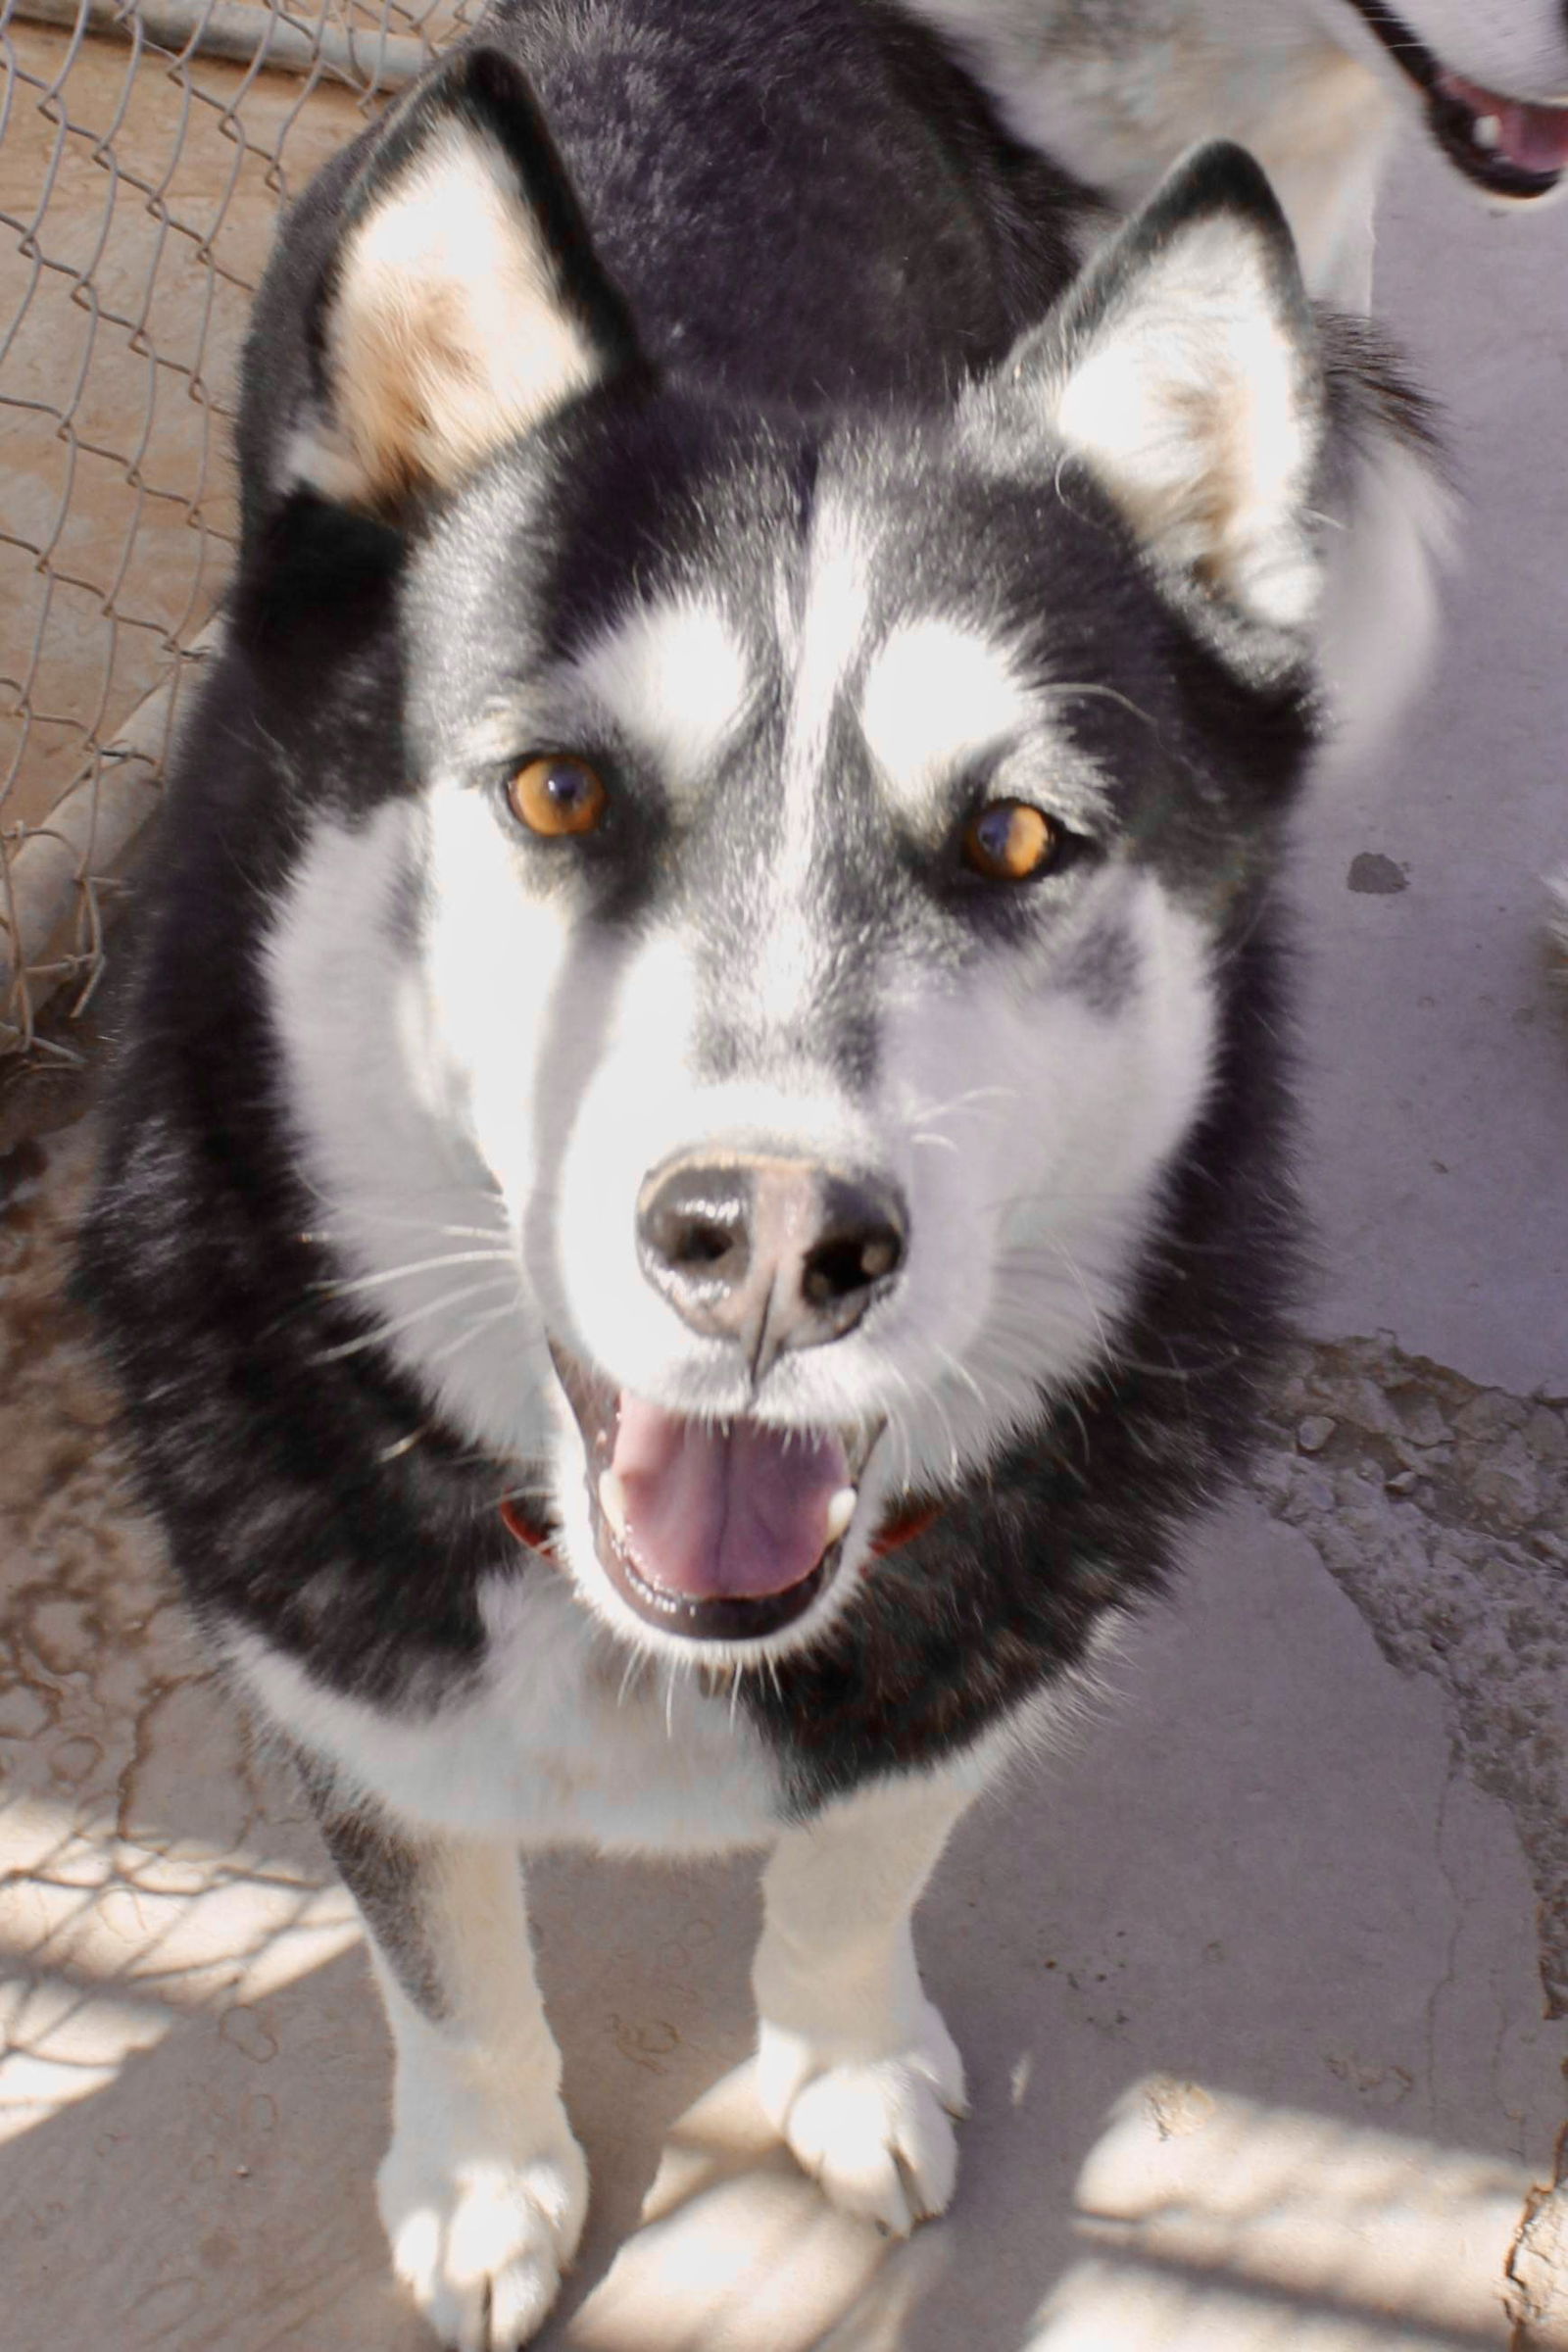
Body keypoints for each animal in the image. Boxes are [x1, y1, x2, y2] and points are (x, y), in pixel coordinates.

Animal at [82, 4, 1439, 2352]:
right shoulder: (339, 1683)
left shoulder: (967, 1662)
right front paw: (488, 2178)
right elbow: (448, 1971)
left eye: (1015, 836)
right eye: (555, 790)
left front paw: (840, 2068)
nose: (776, 1247)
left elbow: (849, 1874)